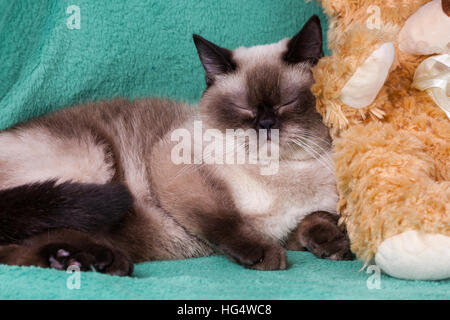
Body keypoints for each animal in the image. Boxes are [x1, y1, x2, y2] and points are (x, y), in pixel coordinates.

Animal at [0, 15, 352, 276]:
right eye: (243, 108)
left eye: (287, 103)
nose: (266, 124)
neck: (279, 176)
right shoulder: (175, 166)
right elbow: (224, 220)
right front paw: (265, 256)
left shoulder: (291, 223)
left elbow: (314, 218)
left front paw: (336, 245)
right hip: (92, 166)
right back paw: (100, 261)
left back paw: (72, 260)